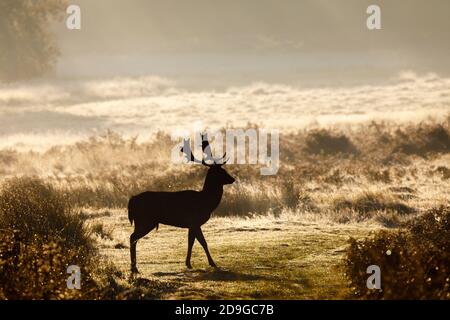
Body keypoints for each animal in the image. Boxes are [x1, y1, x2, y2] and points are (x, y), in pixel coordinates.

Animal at [126, 134, 232, 274]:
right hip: (145, 220)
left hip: (141, 221)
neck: (206, 202)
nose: (232, 179)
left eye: (224, 170)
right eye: (220, 172)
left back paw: (134, 267)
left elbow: (191, 242)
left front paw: (188, 263)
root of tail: (131, 201)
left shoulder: (191, 224)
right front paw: (212, 263)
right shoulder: (194, 220)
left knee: (133, 238)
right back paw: (134, 268)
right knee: (133, 237)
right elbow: (203, 242)